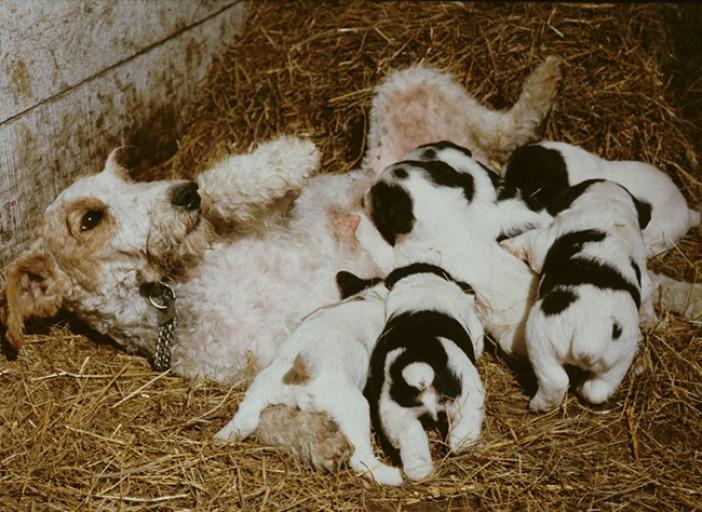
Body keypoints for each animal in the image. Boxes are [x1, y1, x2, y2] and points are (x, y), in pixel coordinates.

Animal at [213, 278, 402, 486]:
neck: (369, 297)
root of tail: (302, 375)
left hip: (258, 392)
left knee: (244, 422)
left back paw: (221, 437)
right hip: (354, 407)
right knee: (361, 459)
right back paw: (391, 475)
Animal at [504, 180, 656, 412]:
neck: (610, 203)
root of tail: (589, 341)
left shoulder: (548, 236)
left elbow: (532, 243)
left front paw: (507, 245)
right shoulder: (645, 280)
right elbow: (648, 293)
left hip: (542, 338)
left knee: (555, 382)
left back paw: (537, 405)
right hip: (618, 360)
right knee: (597, 390)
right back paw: (583, 386)